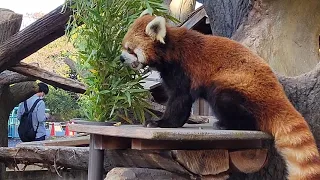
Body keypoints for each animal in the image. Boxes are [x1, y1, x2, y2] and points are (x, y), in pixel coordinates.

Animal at [119, 14, 320, 179]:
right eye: (124, 47)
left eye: (130, 49)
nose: (120, 58)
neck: (170, 48)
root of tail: (279, 97)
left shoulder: (184, 68)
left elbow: (180, 99)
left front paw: (162, 123)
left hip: (240, 88)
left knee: (226, 100)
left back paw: (227, 124)